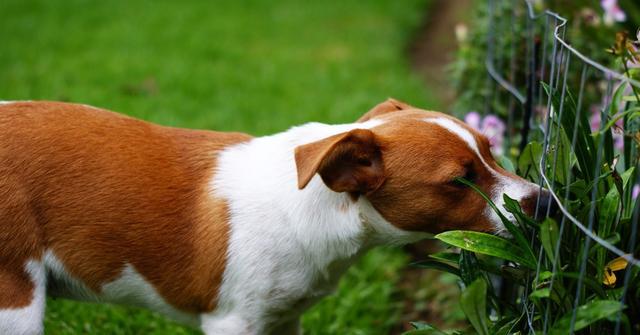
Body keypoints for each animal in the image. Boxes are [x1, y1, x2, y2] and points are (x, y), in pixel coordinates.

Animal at [0, 98, 552, 334]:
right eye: (459, 181)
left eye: (491, 149)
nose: (545, 202)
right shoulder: (233, 323)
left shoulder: (285, 317)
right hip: (16, 299)